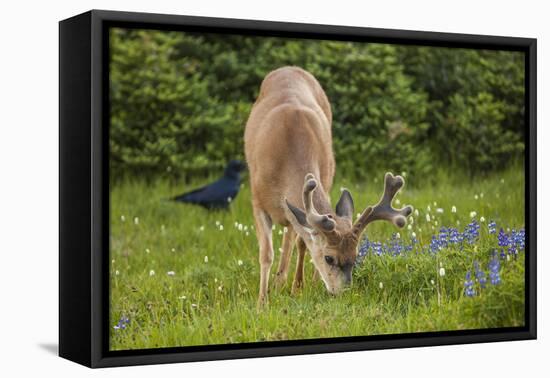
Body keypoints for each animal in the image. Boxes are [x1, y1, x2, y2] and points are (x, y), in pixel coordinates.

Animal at [247, 65, 414, 308]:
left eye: (355, 257)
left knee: (292, 234)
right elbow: (266, 254)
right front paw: (262, 303)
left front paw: (300, 288)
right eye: (329, 258)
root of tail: (290, 68)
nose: (342, 293)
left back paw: (288, 282)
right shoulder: (257, 201)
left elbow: (302, 242)